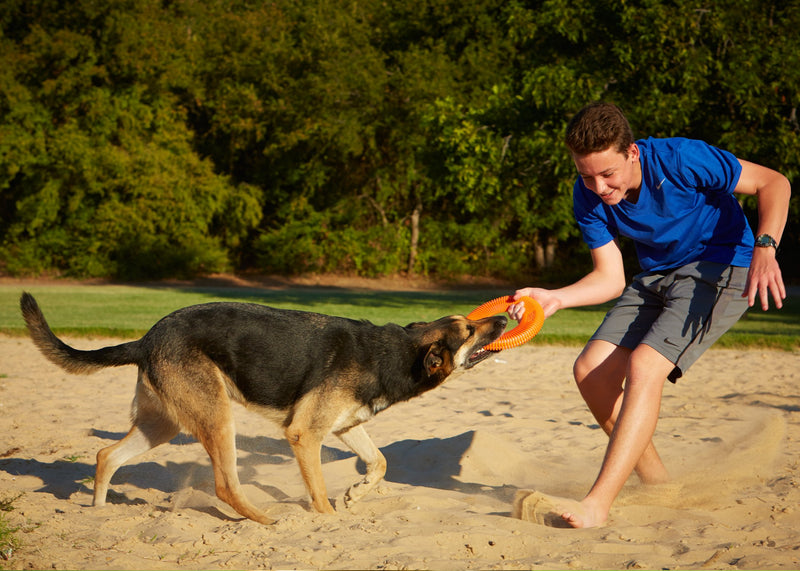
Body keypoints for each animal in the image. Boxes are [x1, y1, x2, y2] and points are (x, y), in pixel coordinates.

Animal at [21, 294, 506, 528]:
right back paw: (264, 519)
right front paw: (329, 521)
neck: (395, 351)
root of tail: (145, 339)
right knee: (224, 485)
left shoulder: (344, 427)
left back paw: (99, 514)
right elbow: (321, 495)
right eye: (468, 330)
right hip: (217, 418)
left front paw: (356, 494)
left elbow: (381, 461)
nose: (505, 317)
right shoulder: (304, 435)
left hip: (164, 424)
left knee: (106, 456)